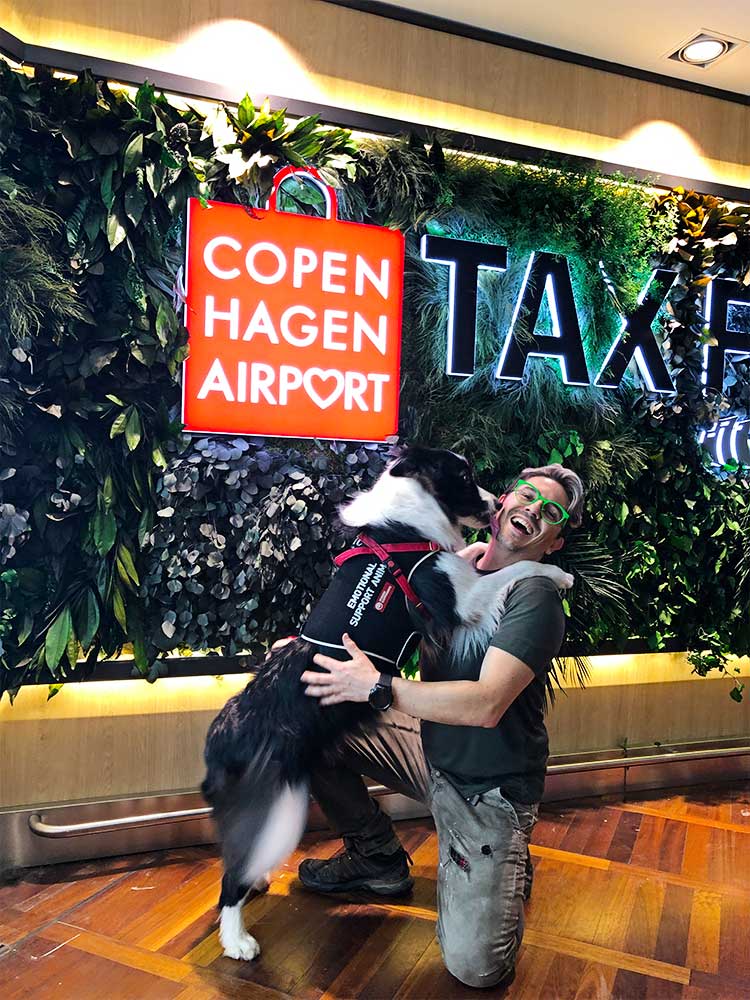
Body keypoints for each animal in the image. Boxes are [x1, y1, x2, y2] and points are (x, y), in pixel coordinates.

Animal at [203, 448, 572, 960]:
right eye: (464, 476)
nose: (497, 502)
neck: (406, 525)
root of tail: (221, 739)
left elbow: (486, 563)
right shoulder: (460, 597)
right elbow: (512, 570)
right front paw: (559, 574)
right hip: (279, 806)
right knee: (231, 876)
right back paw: (237, 940)